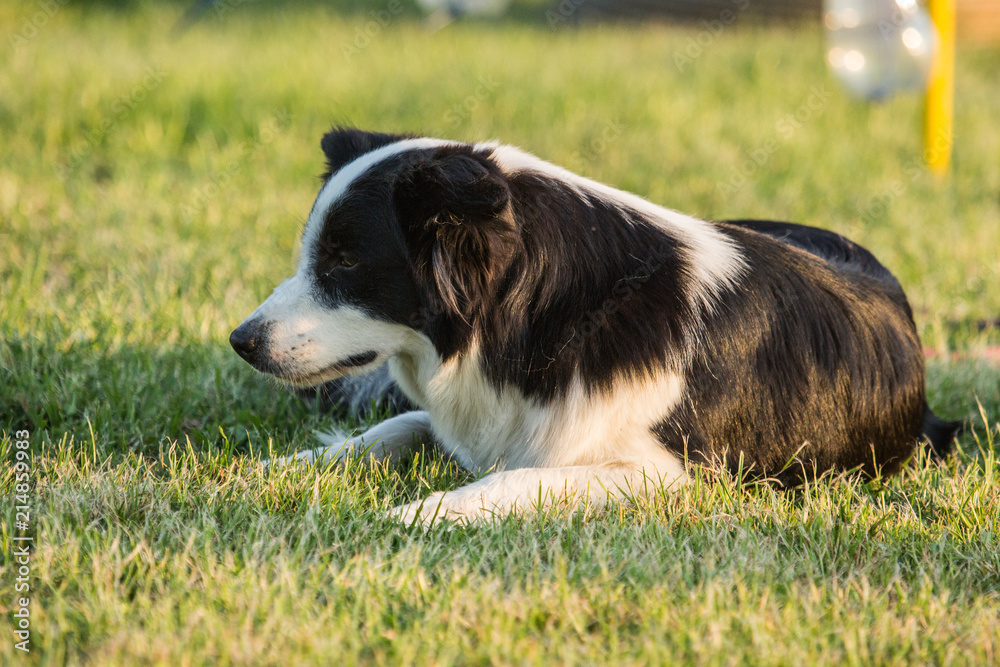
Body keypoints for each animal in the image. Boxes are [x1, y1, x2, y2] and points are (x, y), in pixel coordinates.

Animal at [232, 129, 960, 528]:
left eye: (345, 261)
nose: (241, 340)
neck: (538, 316)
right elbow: (396, 426)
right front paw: (277, 468)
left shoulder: (670, 472)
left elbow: (519, 478)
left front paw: (423, 512)